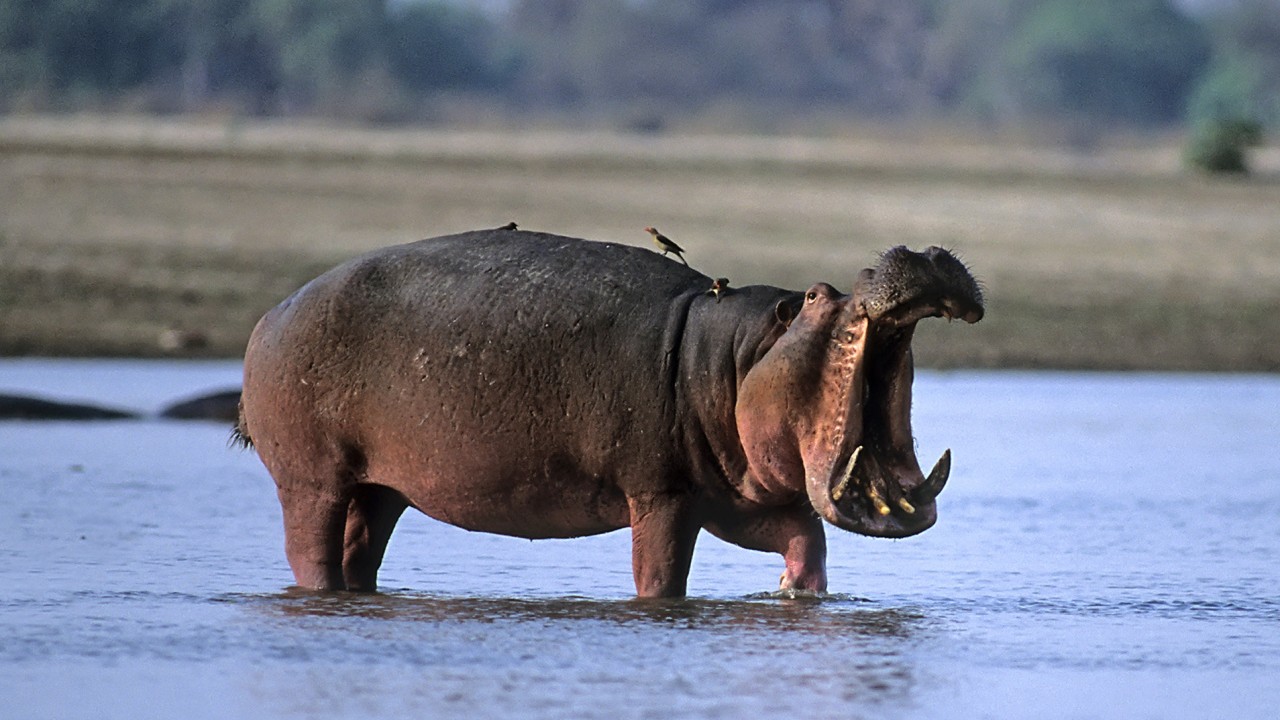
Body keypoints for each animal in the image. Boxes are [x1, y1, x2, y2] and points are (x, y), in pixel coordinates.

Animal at [236, 230, 983, 597]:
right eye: (817, 295)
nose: (922, 252)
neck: (740, 355)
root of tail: (269, 316)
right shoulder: (662, 494)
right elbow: (660, 576)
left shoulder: (733, 496)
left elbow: (805, 541)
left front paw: (798, 592)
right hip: (312, 478)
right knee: (311, 550)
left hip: (382, 484)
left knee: (359, 548)